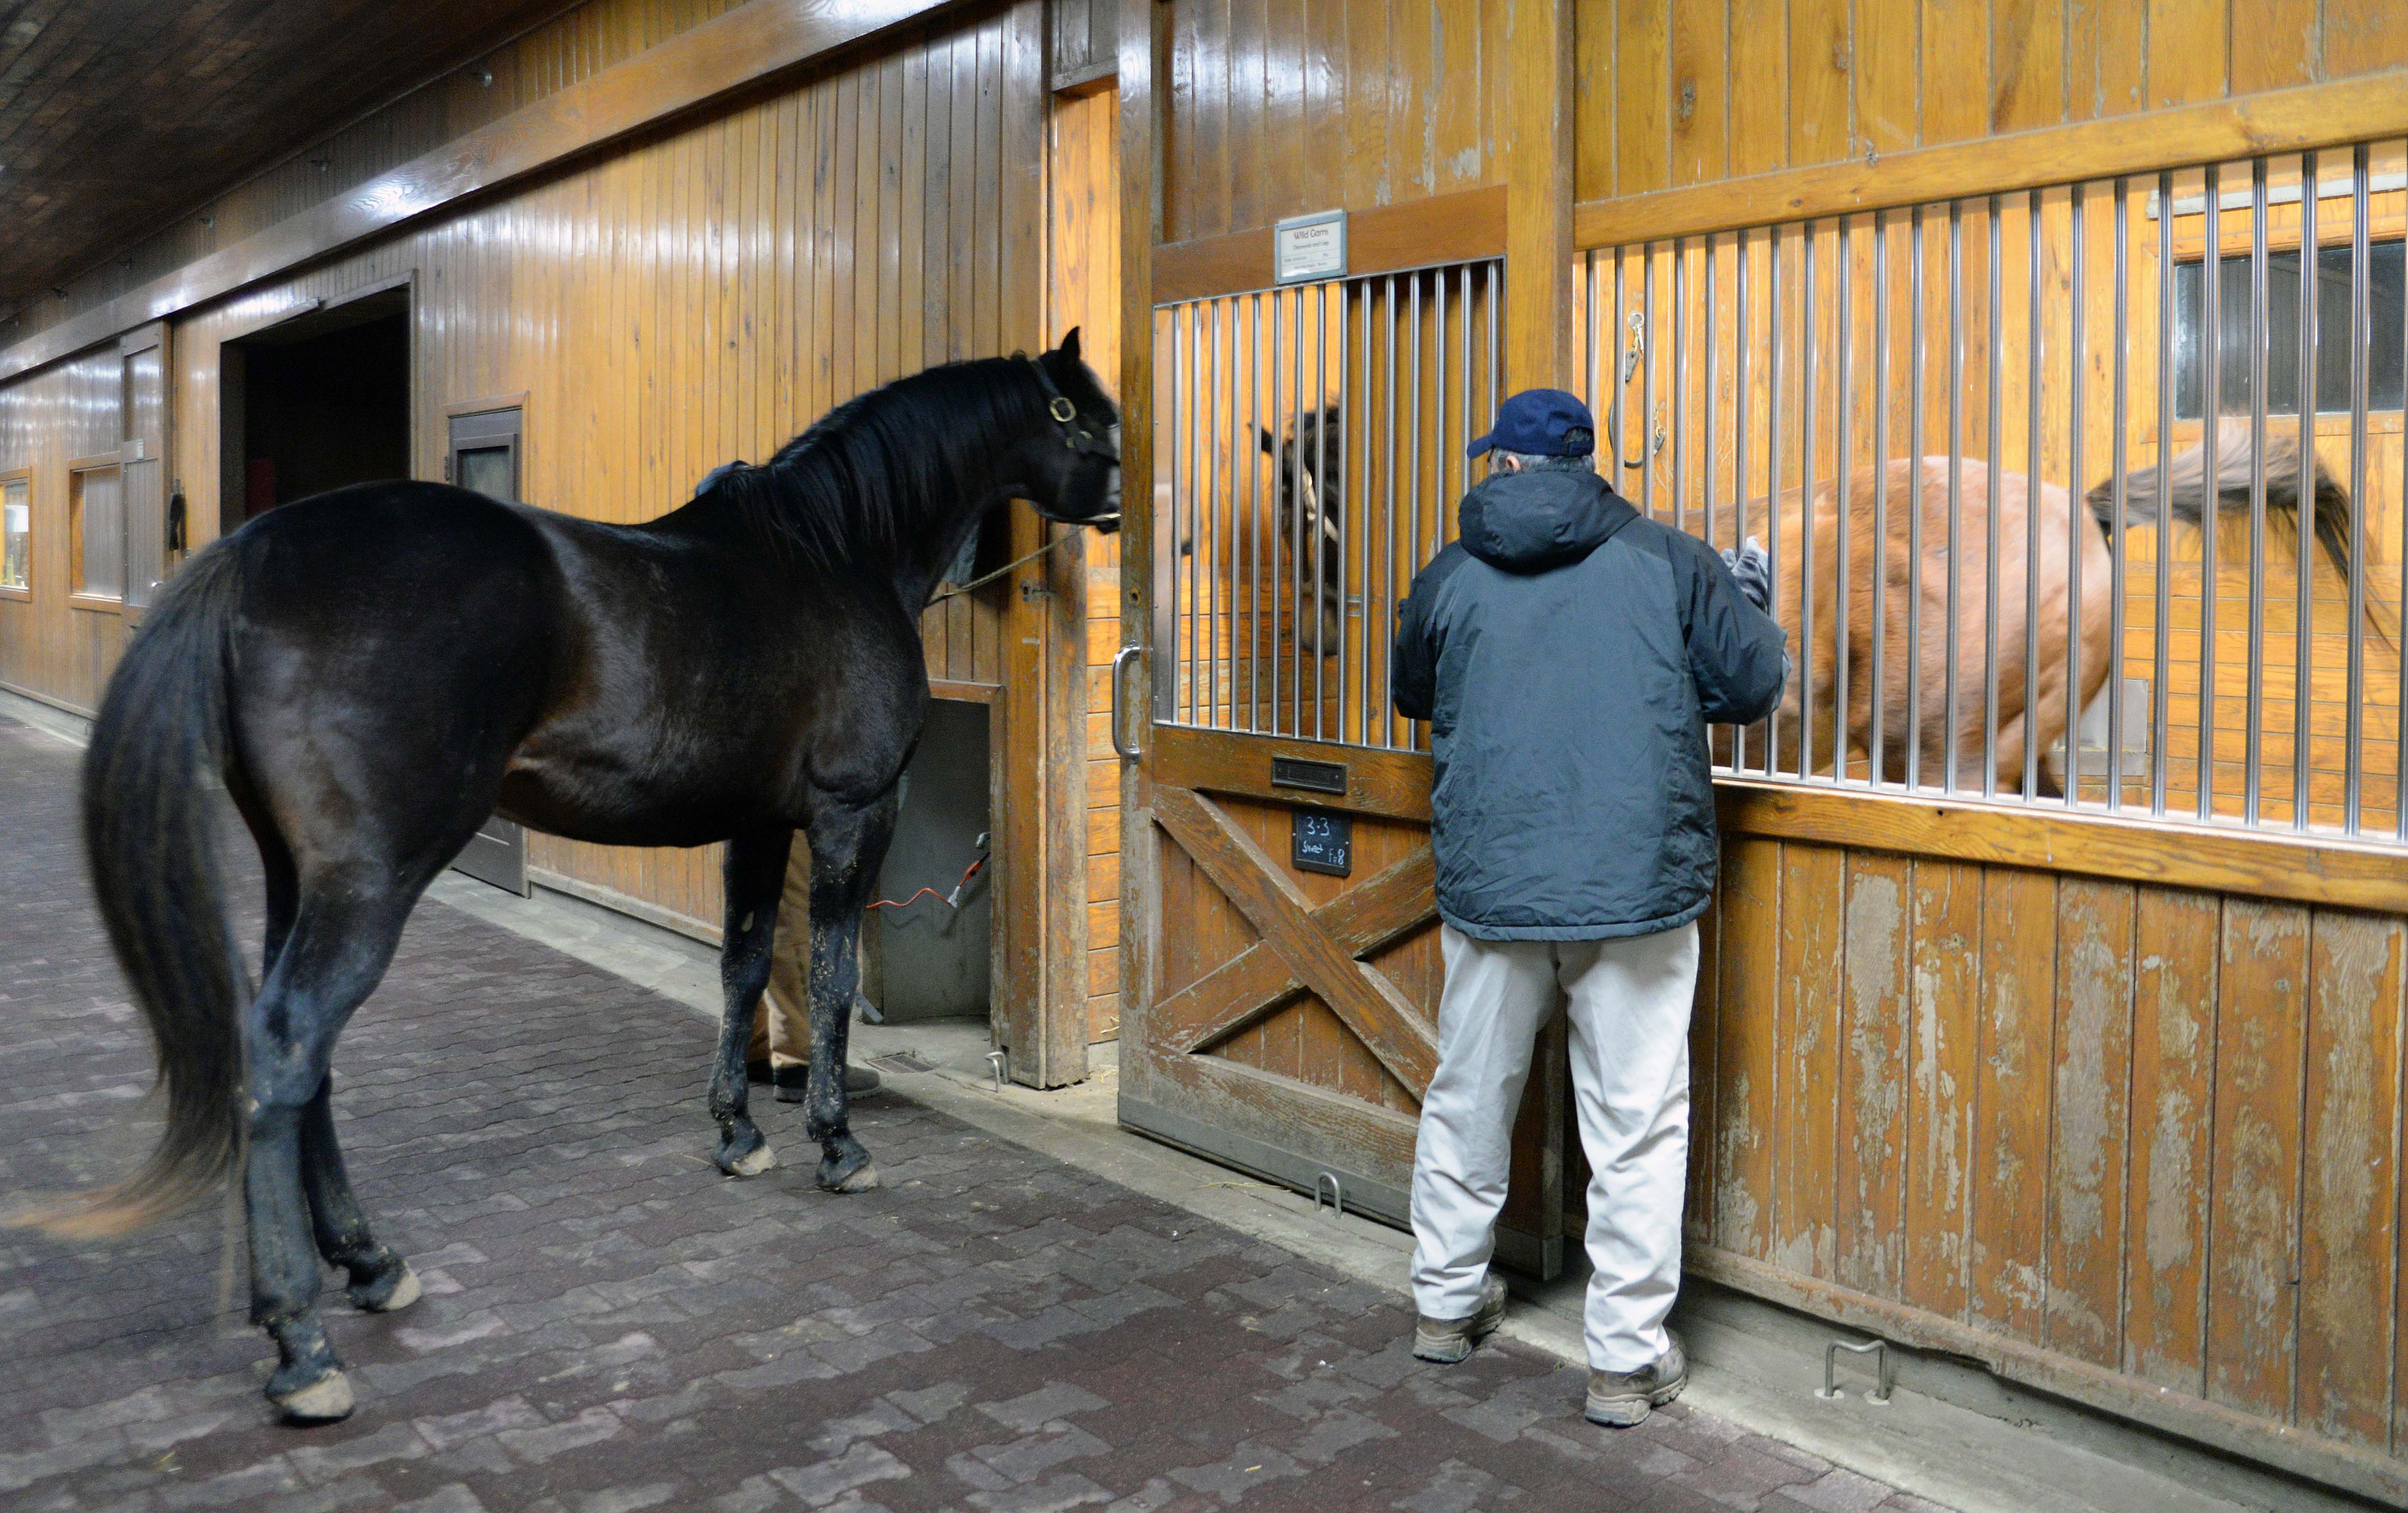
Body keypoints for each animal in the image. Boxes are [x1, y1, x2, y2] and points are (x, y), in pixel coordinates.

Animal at [40, 337, 1117, 1426]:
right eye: (1089, 418)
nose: (1118, 506)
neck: (835, 554)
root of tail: (253, 554)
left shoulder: (757, 823)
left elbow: (741, 966)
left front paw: (737, 1132)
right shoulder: (854, 810)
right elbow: (832, 974)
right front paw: (835, 1143)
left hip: (296, 876)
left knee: (305, 1062)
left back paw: (372, 1261)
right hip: (370, 879)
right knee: (290, 1044)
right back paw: (304, 1342)